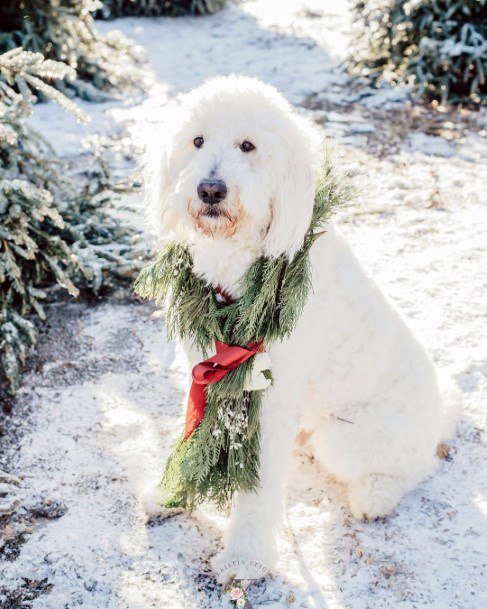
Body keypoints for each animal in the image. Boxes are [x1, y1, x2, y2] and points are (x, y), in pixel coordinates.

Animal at [144, 75, 458, 580]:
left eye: (248, 145)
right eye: (196, 141)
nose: (210, 190)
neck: (241, 264)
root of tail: (440, 414)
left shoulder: (271, 393)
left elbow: (257, 488)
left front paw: (246, 557)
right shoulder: (206, 372)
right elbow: (195, 434)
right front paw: (173, 494)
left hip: (350, 436)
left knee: (416, 467)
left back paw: (375, 495)